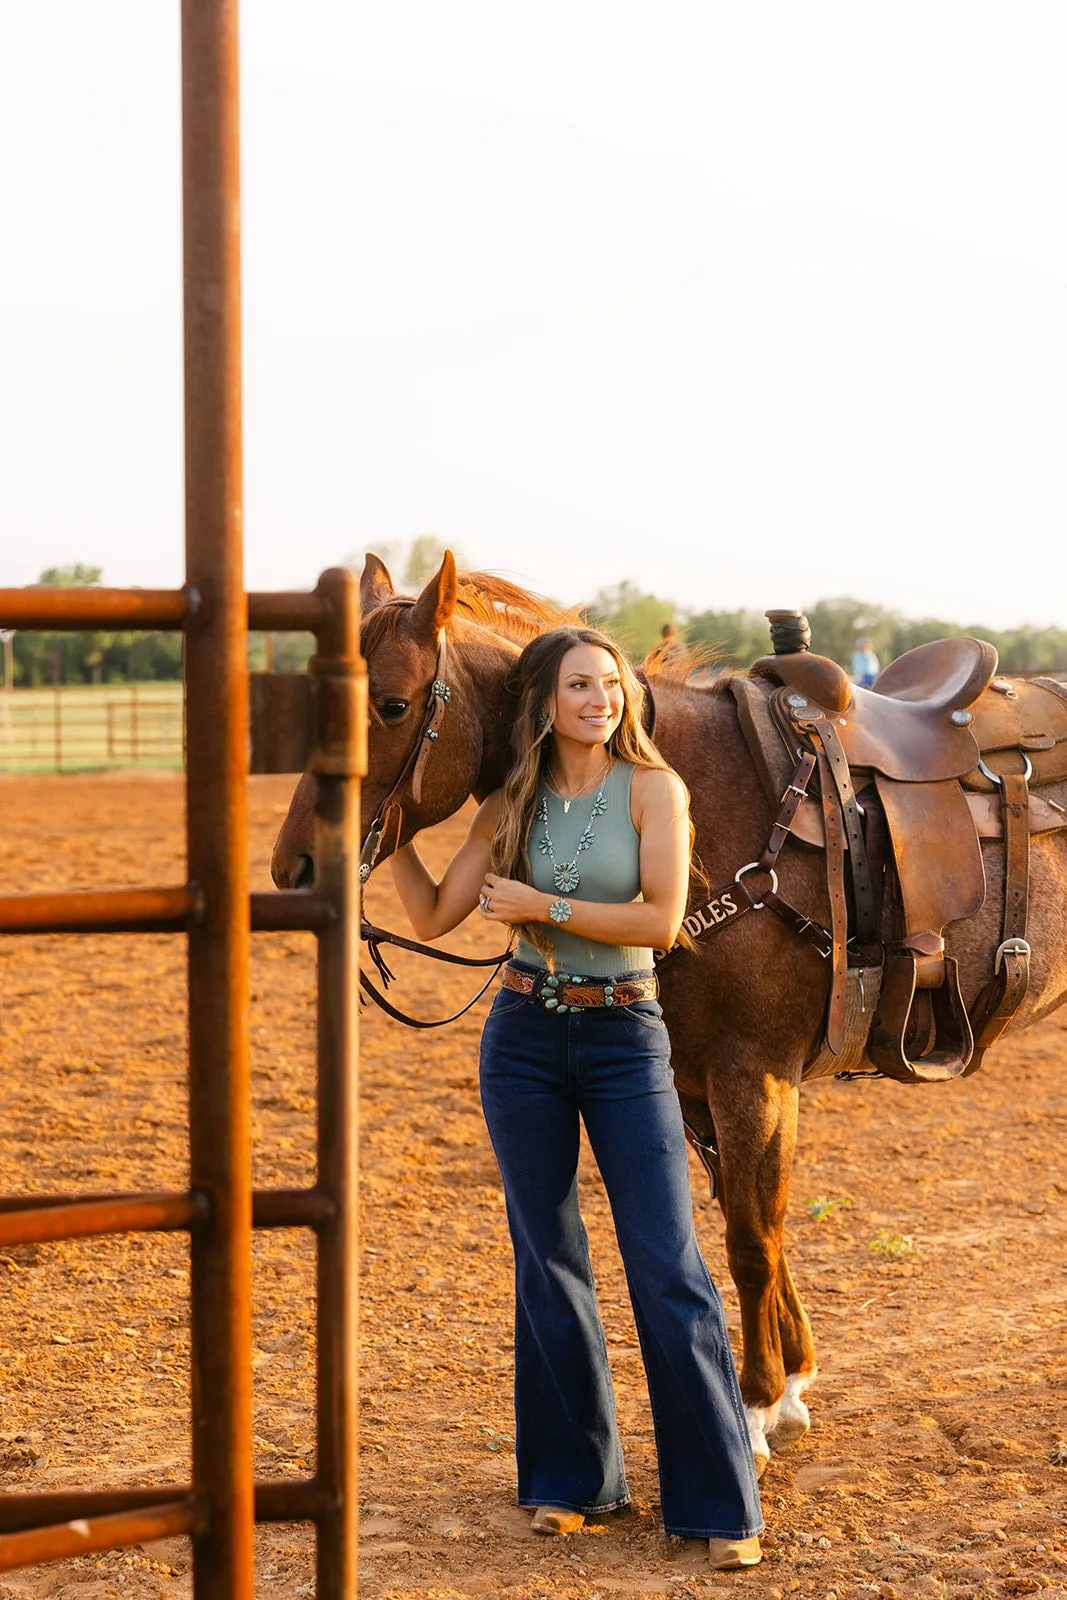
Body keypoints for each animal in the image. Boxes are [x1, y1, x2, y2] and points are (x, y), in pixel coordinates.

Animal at [273, 553, 1067, 1472]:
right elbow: (754, 1218)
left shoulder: (752, 1073)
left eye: (393, 704)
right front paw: (791, 1383)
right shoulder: (696, 1077)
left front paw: (753, 1411)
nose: (295, 867)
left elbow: (751, 1239)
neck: (708, 805)